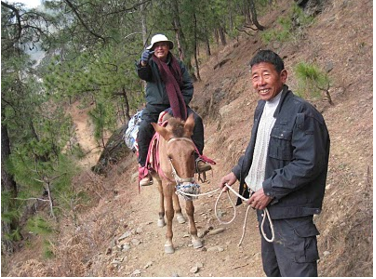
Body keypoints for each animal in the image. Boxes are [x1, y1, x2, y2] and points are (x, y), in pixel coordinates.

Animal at [150, 114, 203, 256]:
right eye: (169, 156)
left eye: (193, 152)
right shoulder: (167, 183)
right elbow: (169, 212)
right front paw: (169, 242)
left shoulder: (188, 182)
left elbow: (189, 209)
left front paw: (195, 237)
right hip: (159, 179)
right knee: (161, 193)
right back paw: (161, 216)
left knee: (174, 195)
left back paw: (179, 214)